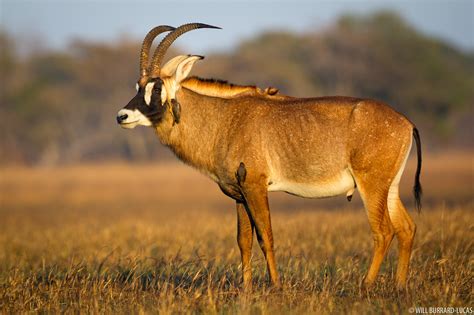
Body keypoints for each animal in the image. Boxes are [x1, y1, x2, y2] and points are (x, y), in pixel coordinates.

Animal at [117, 24, 422, 292]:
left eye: (157, 88)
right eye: (137, 86)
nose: (122, 116)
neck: (223, 119)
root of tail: (407, 123)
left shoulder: (255, 186)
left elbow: (266, 236)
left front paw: (275, 285)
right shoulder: (239, 194)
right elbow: (244, 240)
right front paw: (247, 287)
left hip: (371, 185)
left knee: (383, 231)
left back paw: (367, 285)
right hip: (390, 187)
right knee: (406, 228)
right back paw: (399, 285)